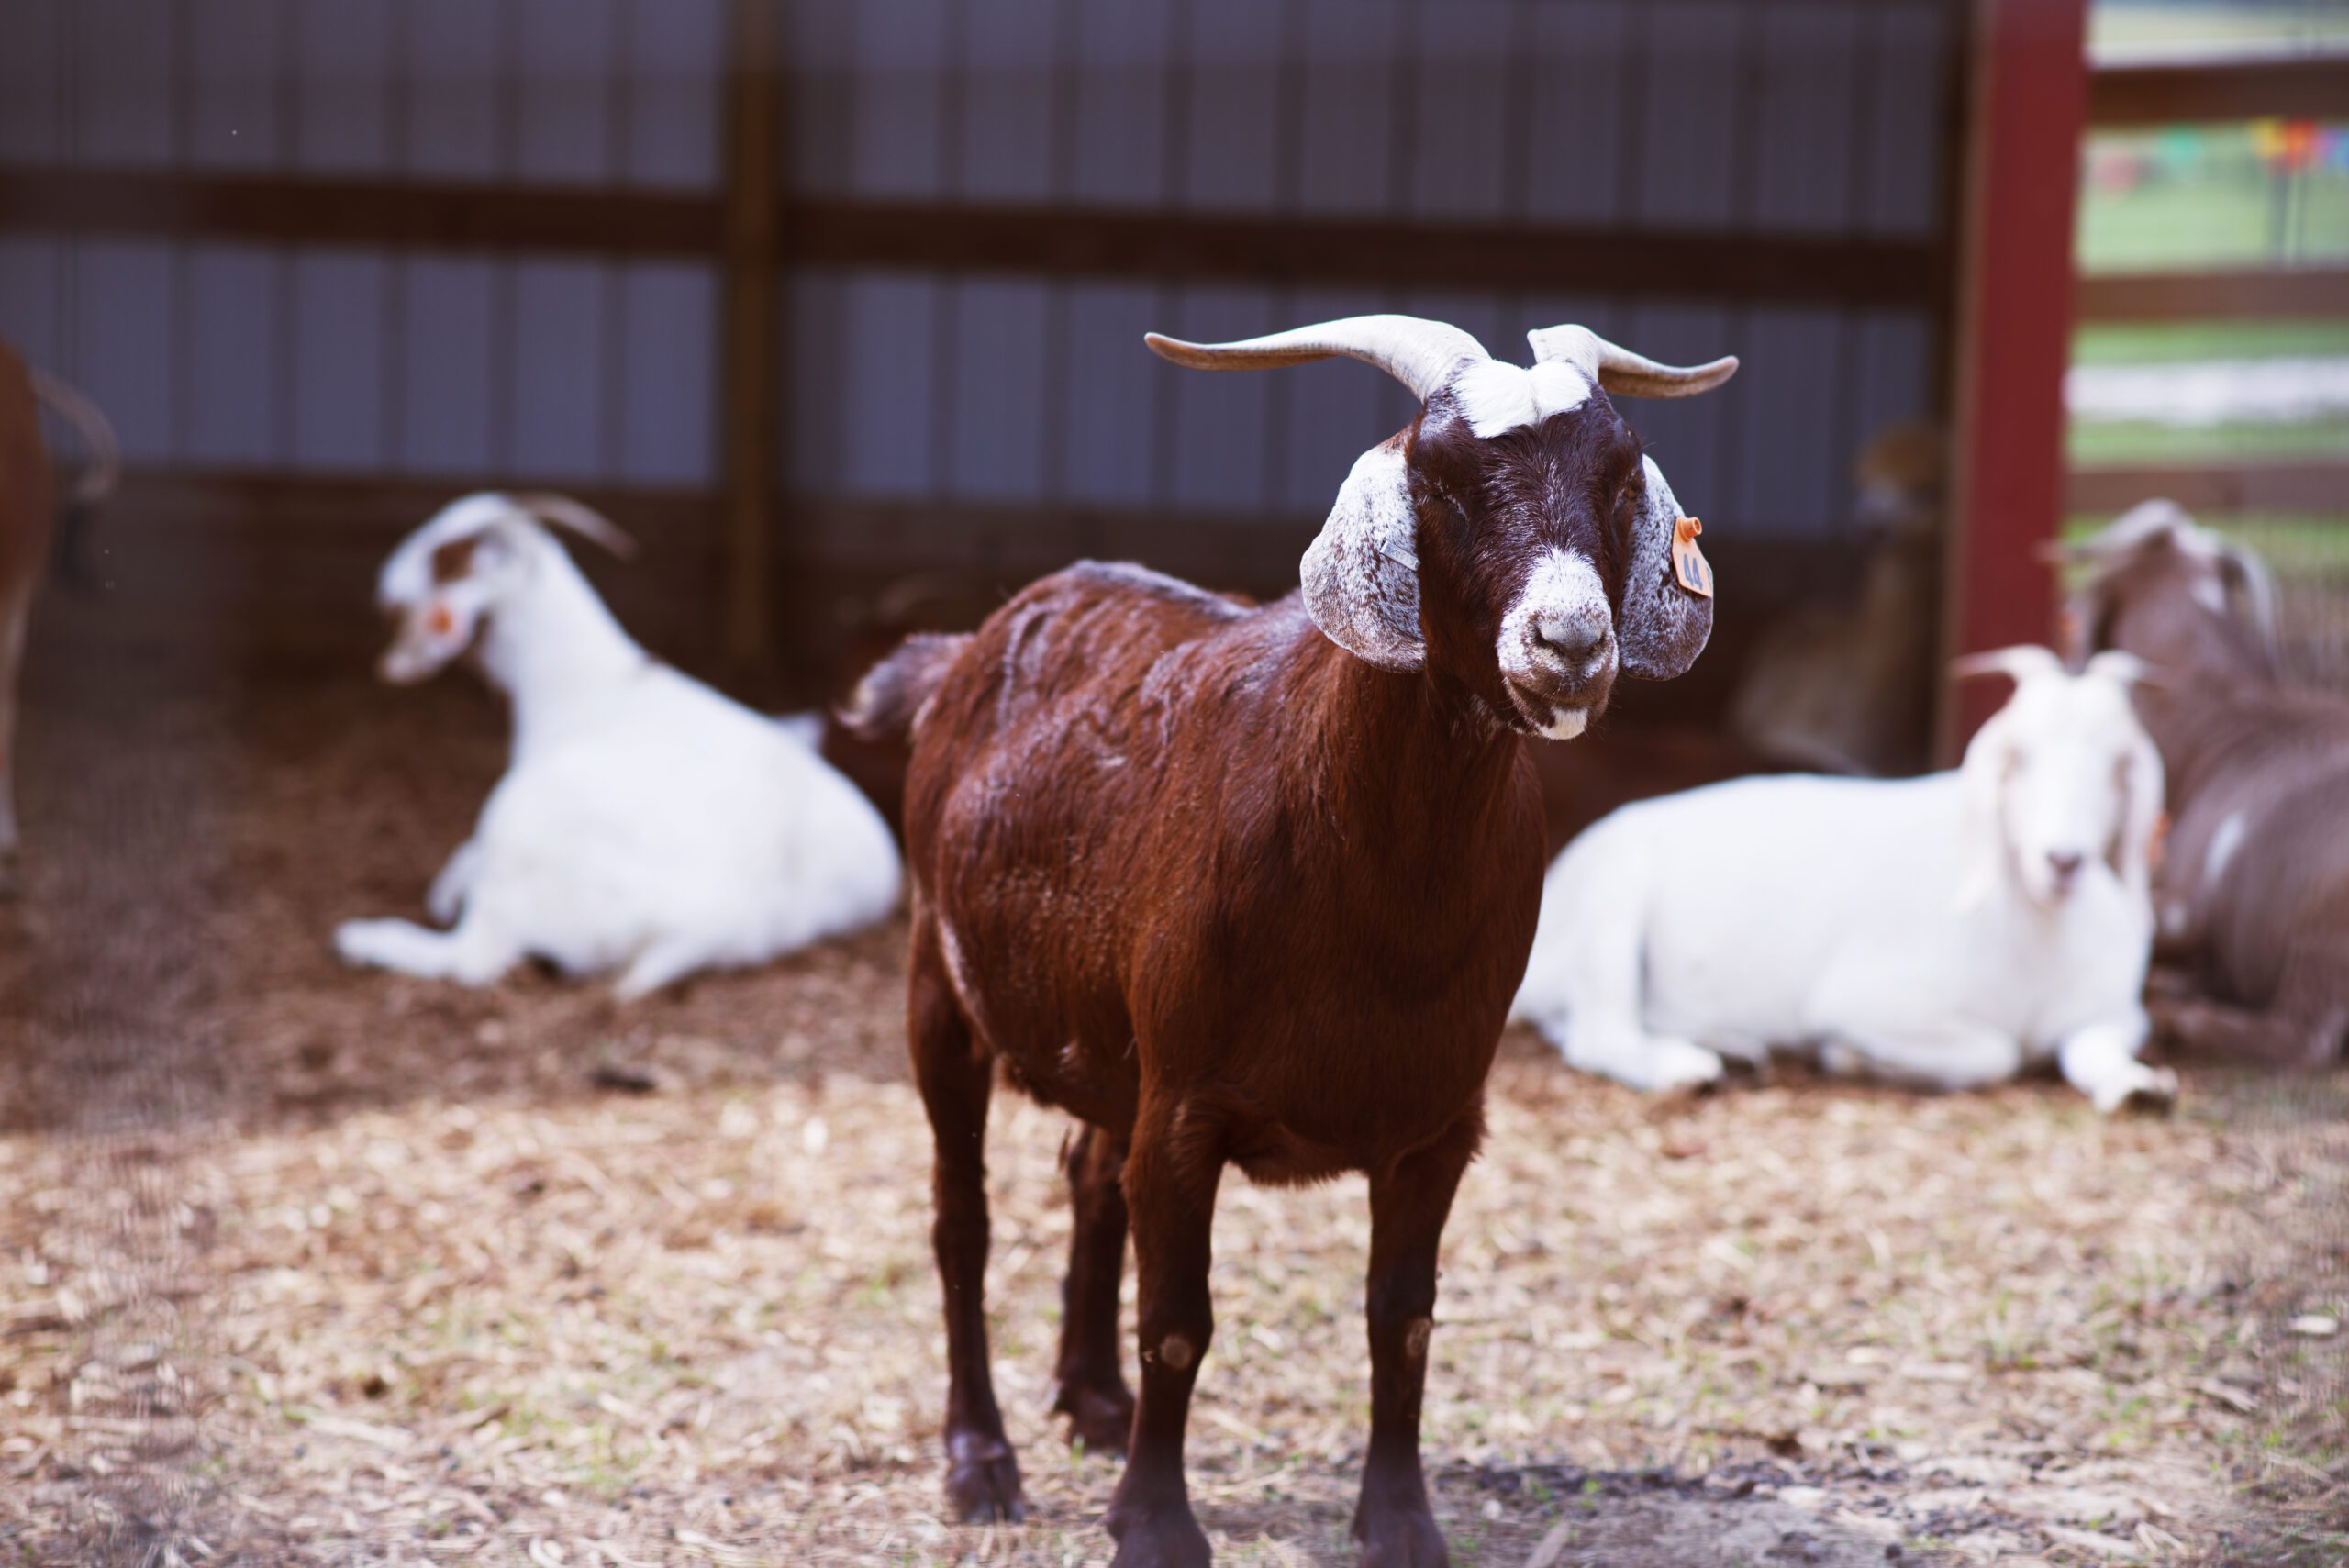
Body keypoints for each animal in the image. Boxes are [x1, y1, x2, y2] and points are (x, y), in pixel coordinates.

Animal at [334, 492, 901, 999]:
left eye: (444, 556)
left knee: (471, 960)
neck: (589, 687)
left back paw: (364, 938)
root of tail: (722, 921)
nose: (381, 587)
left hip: (519, 831)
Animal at [848, 313, 1735, 1566]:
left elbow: (1401, 1319)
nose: (1567, 642)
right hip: (941, 982)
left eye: (1619, 477)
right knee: (959, 1219)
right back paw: (981, 1462)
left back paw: (1093, 1400)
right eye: (1437, 481)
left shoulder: (1438, 1123)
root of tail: (968, 646)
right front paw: (1155, 1523)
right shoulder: (1188, 1104)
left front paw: (1401, 1520)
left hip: (1109, 1042)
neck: (1375, 907)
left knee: (1086, 1174)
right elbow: (1178, 1319)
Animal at [1512, 647, 2176, 1114]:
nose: (2064, 860)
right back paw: (1685, 1069)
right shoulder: (1872, 999)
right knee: (1597, 1034)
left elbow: (2095, 1048)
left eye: (2120, 765)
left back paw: (1734, 1050)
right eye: (2018, 759)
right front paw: (1851, 1057)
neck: (2036, 922)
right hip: (1612, 901)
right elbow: (1996, 1053)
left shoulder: (2114, 1014)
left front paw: (2141, 1088)